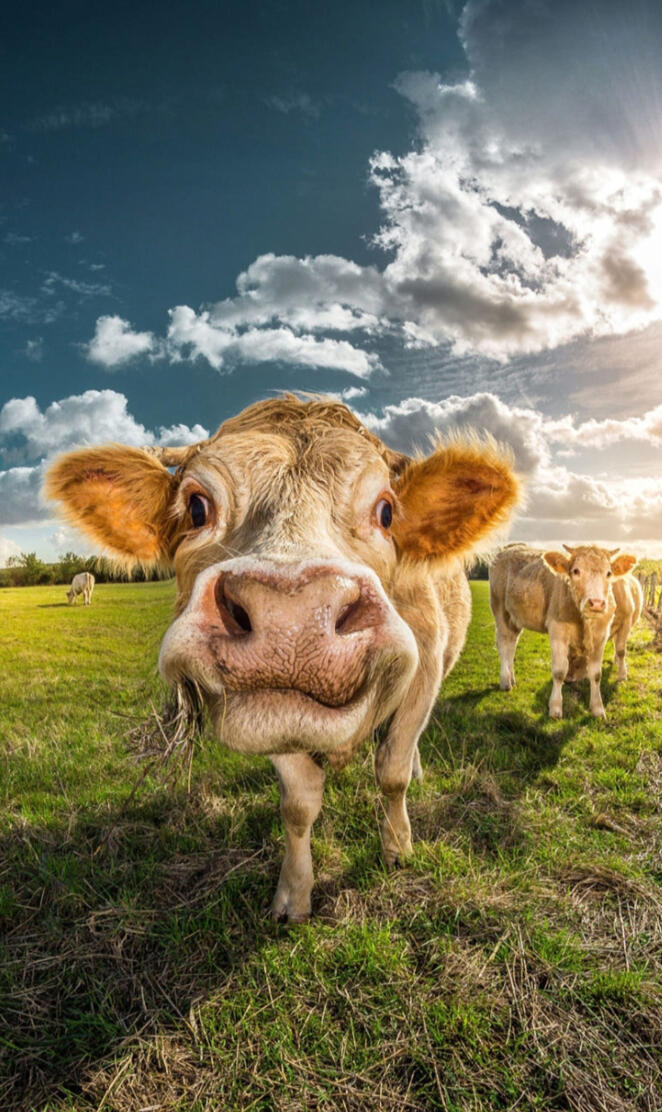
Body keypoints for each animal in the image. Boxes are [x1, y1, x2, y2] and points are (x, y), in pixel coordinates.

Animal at [45, 396, 519, 922]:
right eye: (196, 507)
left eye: (387, 511)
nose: (291, 618)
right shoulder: (271, 715)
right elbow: (299, 805)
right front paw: (294, 895)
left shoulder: (427, 670)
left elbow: (392, 773)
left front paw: (398, 848)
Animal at [489, 543, 638, 720]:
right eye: (576, 571)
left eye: (609, 573)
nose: (596, 603)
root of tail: (510, 547)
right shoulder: (557, 631)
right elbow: (559, 672)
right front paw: (555, 708)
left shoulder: (600, 635)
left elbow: (596, 674)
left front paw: (598, 709)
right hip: (500, 610)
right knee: (503, 644)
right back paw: (505, 681)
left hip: (515, 617)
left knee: (511, 645)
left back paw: (511, 678)